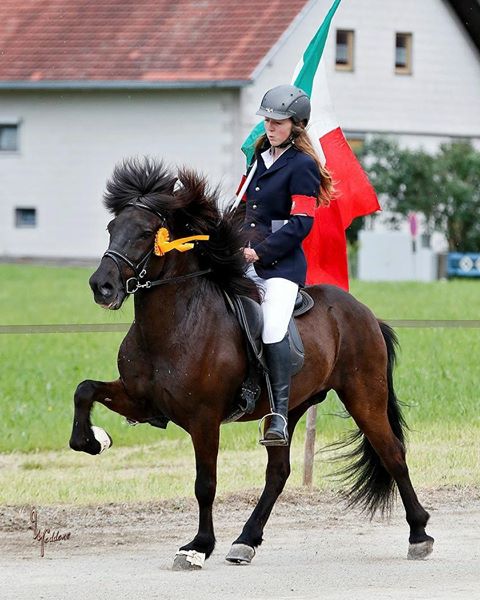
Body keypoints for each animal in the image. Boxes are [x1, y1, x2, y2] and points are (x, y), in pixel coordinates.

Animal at [70, 157, 436, 568]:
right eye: (112, 228)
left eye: (147, 233)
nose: (102, 286)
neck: (174, 325)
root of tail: (365, 314)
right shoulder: (141, 399)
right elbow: (84, 390)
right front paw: (93, 440)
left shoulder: (204, 418)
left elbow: (205, 484)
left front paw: (198, 546)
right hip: (290, 407)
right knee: (278, 472)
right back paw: (246, 540)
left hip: (364, 397)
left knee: (393, 455)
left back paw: (419, 534)